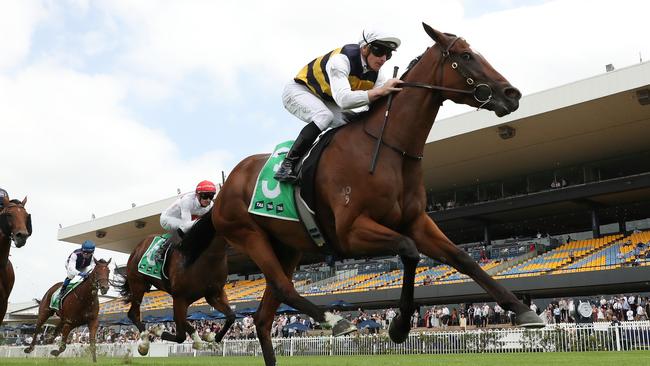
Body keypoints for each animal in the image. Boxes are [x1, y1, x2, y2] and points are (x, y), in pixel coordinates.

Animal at [117, 213, 235, 356]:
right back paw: (144, 343)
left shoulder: (214, 293)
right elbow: (181, 330)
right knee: (133, 313)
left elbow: (231, 316)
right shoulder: (180, 297)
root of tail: (137, 248)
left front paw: (213, 337)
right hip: (138, 284)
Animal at [200, 23, 544, 366]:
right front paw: (400, 326)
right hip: (249, 236)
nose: (511, 94)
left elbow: (463, 258)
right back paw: (336, 321)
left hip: (287, 248)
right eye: (466, 56)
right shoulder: (351, 231)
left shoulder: (416, 221)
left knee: (263, 316)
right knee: (284, 288)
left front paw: (522, 310)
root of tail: (224, 189)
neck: (390, 148)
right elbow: (408, 251)